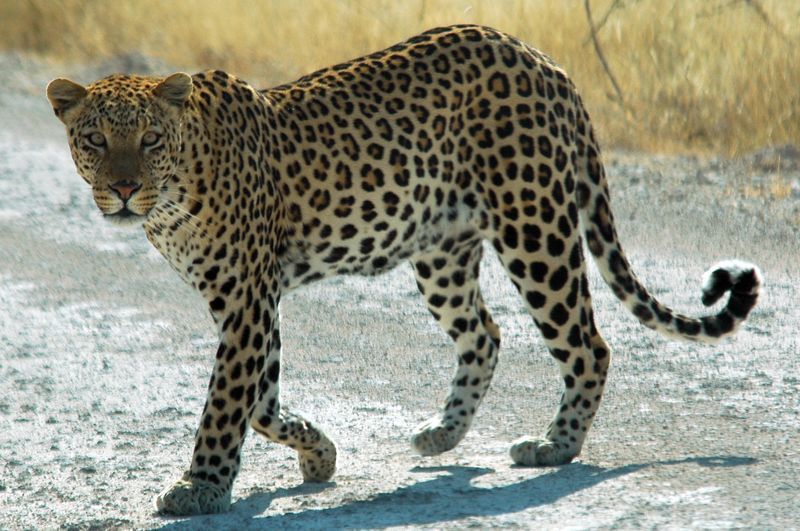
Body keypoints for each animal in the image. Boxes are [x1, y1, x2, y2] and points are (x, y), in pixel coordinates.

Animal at [47, 23, 760, 516]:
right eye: (95, 141)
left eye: (149, 140)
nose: (123, 190)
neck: (174, 195)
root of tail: (543, 59)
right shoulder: (249, 301)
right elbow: (261, 401)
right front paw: (319, 453)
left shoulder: (247, 298)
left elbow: (226, 404)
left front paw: (200, 487)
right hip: (440, 252)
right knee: (485, 334)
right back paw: (443, 435)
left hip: (536, 229)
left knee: (588, 343)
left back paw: (554, 446)